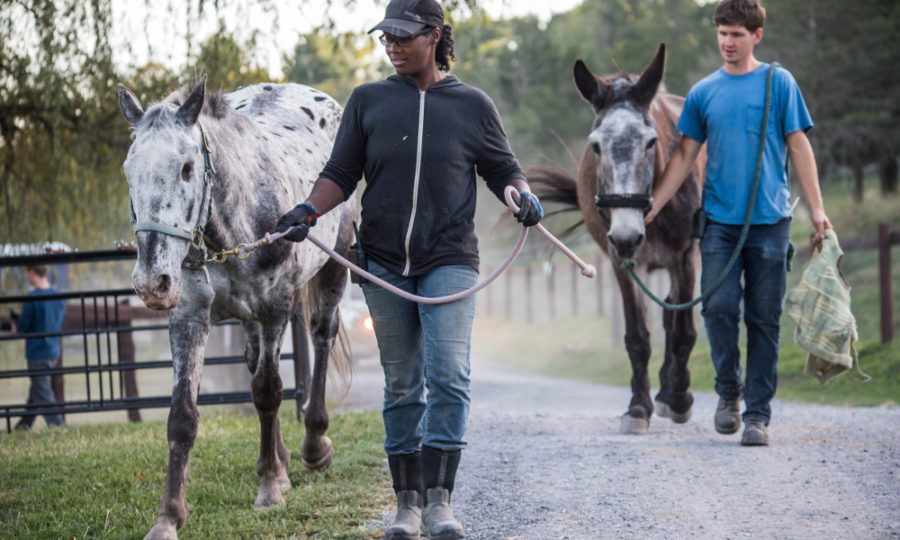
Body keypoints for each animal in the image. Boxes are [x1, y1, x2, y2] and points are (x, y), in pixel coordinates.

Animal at [116, 77, 358, 540]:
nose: (153, 281)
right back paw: (281, 462)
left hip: (336, 265)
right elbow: (182, 416)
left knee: (321, 335)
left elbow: (268, 392)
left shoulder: (275, 310)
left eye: (186, 169)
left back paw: (313, 445)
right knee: (252, 360)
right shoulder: (190, 316)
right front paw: (168, 517)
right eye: (128, 171)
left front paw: (268, 491)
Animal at [532, 45, 708, 434]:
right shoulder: (622, 262)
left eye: (651, 142)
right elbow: (637, 337)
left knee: (673, 317)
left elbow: (683, 332)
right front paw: (639, 407)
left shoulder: (686, 257)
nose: (628, 234)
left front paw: (681, 398)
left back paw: (672, 391)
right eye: (596, 147)